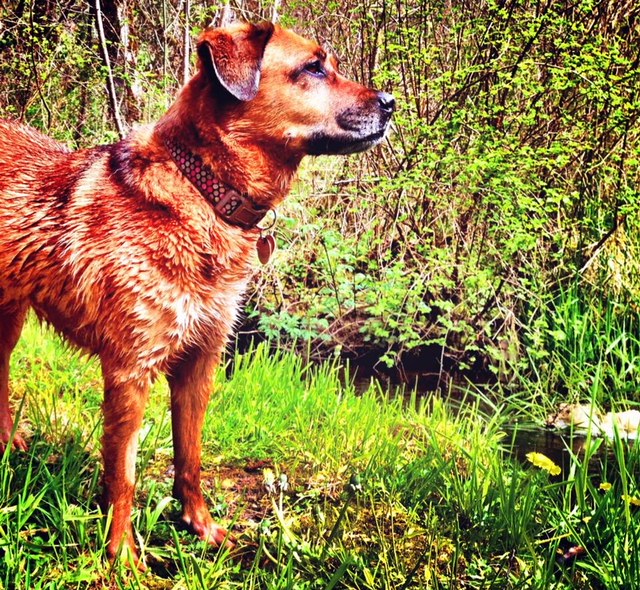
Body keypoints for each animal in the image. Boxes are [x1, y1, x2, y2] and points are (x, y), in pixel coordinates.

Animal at [0, 22, 396, 564]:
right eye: (314, 68)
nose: (391, 102)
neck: (202, 192)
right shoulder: (130, 372)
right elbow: (122, 477)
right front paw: (122, 557)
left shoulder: (200, 363)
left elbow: (190, 458)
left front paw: (200, 526)